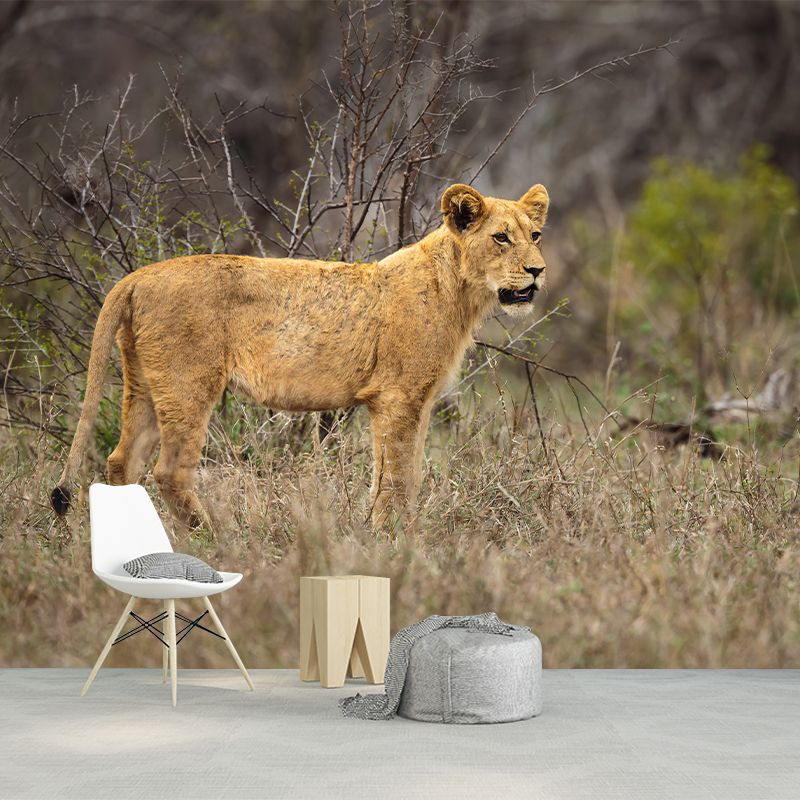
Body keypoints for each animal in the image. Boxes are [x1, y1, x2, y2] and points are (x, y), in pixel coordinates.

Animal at [50, 182, 549, 529]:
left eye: (535, 234)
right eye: (501, 238)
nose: (538, 270)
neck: (460, 292)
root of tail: (136, 276)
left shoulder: (416, 402)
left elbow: (406, 474)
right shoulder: (397, 397)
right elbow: (396, 476)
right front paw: (390, 538)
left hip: (145, 385)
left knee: (121, 461)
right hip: (187, 383)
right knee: (170, 470)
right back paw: (212, 537)